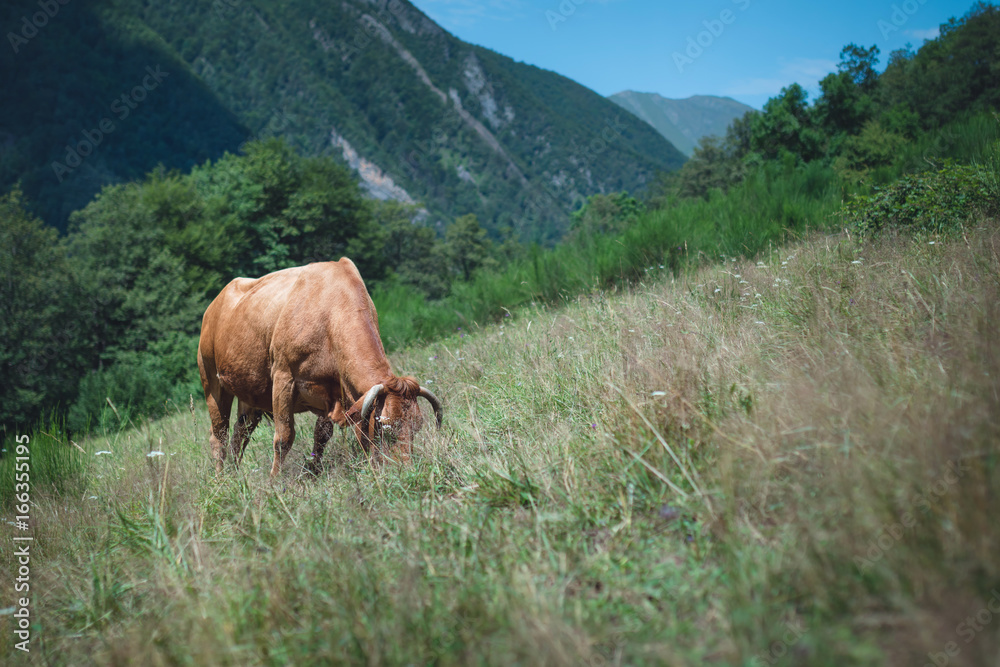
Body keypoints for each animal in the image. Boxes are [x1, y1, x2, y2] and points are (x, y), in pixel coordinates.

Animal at [197, 258, 442, 477]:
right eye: (384, 426)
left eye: (418, 426)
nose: (406, 470)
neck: (330, 314)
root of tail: (213, 306)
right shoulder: (283, 377)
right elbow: (283, 437)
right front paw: (274, 483)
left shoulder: (333, 390)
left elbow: (322, 435)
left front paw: (313, 472)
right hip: (212, 382)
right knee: (218, 435)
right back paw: (221, 479)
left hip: (250, 393)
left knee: (240, 434)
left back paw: (235, 474)